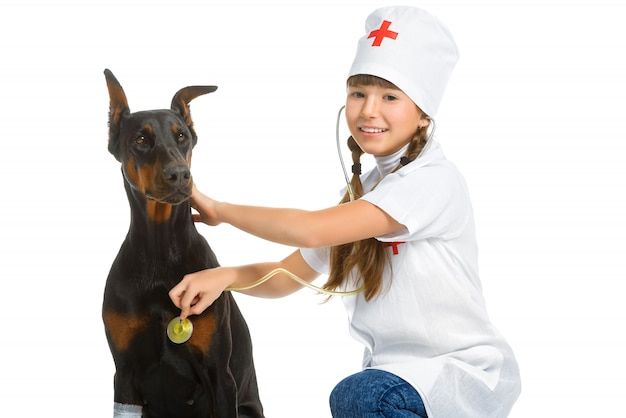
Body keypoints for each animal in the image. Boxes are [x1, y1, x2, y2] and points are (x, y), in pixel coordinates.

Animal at [102, 69, 264, 418]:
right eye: (141, 140)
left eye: (181, 137)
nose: (179, 174)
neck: (160, 252)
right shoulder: (124, 375)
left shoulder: (219, 375)